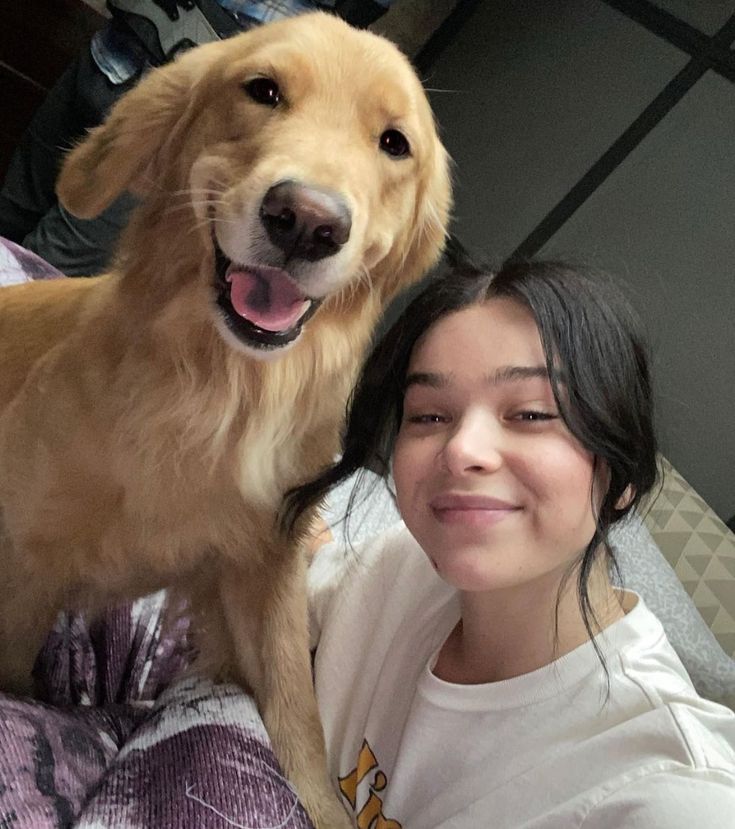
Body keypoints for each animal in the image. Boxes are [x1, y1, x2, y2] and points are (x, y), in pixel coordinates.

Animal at [0, 9, 448, 824]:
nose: (306, 222)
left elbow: (298, 718)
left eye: (394, 142)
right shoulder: (23, 560)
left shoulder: (266, 570)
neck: (217, 392)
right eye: (262, 90)